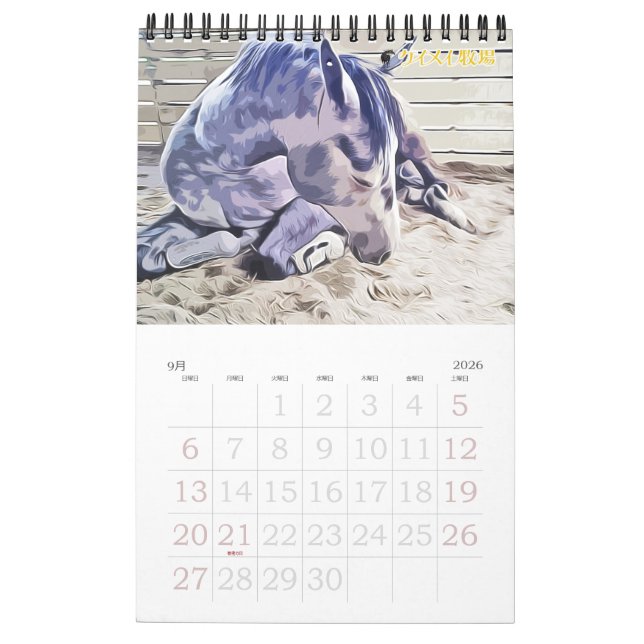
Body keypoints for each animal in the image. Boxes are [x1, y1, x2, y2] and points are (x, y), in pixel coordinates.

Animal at [137, 36, 474, 281]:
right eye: (360, 171)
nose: (384, 253)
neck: (225, 167)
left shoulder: (312, 205)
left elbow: (270, 254)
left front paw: (324, 249)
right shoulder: (185, 217)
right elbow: (146, 253)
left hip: (411, 141)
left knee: (434, 181)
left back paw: (462, 218)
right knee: (417, 190)